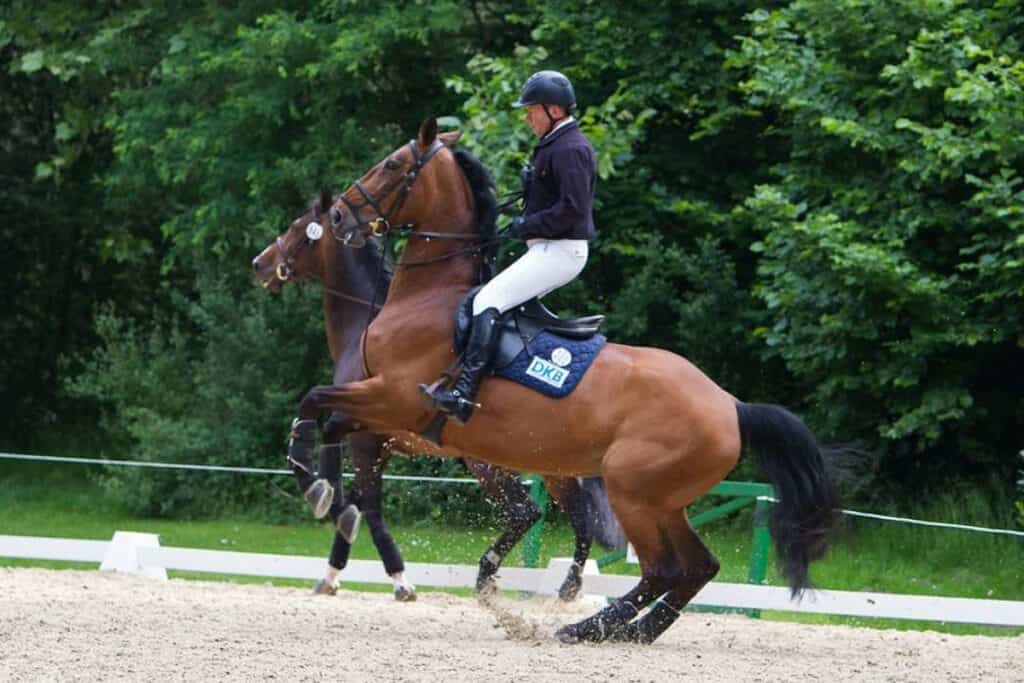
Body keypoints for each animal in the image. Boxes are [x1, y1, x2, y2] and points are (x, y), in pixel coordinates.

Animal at [252, 188, 622, 602]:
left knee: (526, 511)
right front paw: (333, 565)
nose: (260, 264)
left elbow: (371, 507)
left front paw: (399, 580)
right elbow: (358, 502)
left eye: (297, 228)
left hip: (487, 463)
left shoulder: (368, 436)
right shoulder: (373, 437)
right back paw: (566, 587)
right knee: (578, 517)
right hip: (550, 464)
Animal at [295, 118, 842, 644]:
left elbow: (316, 401)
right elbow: (330, 419)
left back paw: (588, 627)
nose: (339, 217)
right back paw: (630, 631)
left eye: (391, 165)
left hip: (632, 491)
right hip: (662, 501)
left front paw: (315, 485)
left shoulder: (394, 399)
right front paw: (325, 491)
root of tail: (731, 405)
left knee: (664, 568)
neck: (428, 298)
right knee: (697, 567)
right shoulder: (386, 412)